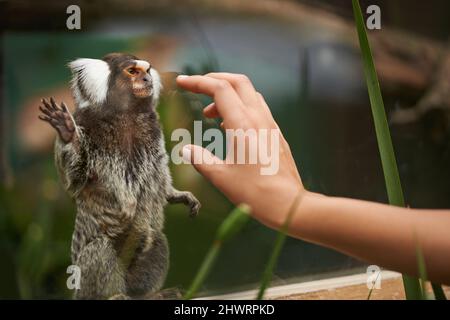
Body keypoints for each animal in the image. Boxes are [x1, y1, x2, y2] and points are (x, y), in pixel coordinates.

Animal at [38, 52, 200, 300]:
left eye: (147, 71)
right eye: (132, 72)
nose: (146, 79)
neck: (125, 115)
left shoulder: (154, 133)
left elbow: (160, 178)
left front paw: (178, 195)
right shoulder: (84, 123)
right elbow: (73, 181)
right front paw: (66, 132)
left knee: (156, 240)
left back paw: (148, 294)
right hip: (83, 282)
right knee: (101, 249)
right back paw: (112, 296)